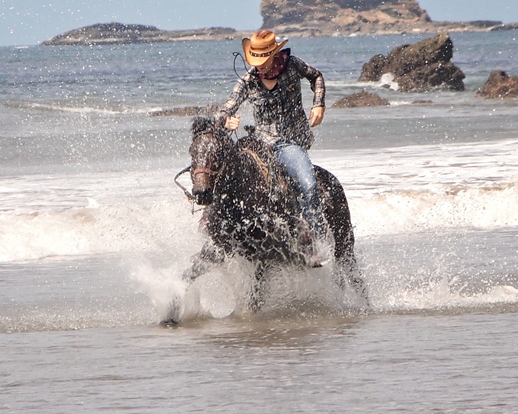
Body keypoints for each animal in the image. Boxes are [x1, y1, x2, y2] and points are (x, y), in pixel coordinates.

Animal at [167, 116, 370, 324]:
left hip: (343, 243)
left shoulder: (266, 257)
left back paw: (365, 306)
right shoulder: (216, 250)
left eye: (219, 151)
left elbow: (255, 298)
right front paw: (171, 311)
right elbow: (187, 275)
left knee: (355, 278)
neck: (240, 201)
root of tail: (333, 180)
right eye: (192, 151)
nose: (201, 192)